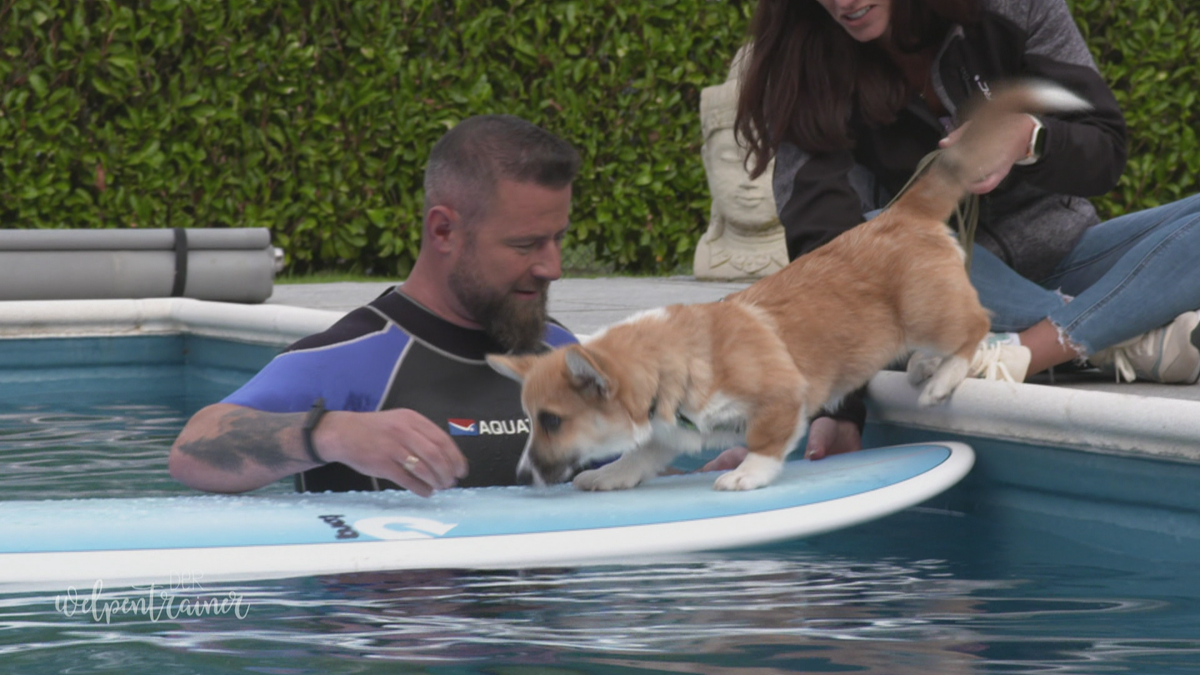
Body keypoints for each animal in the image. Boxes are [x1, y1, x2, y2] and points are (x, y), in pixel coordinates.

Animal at [487, 79, 1089, 487]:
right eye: (532, 420)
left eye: (552, 421)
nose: (519, 478)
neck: (673, 362)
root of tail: (904, 212)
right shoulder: (671, 432)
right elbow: (640, 454)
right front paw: (608, 476)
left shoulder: (780, 399)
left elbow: (764, 440)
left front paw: (745, 475)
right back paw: (925, 367)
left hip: (928, 310)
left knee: (975, 327)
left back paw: (943, 378)